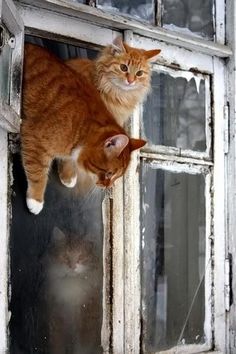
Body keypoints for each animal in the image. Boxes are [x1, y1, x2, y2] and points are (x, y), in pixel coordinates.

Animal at [21, 44, 146, 216]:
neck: (83, 125)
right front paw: (36, 200)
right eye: (109, 173)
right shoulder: (35, 139)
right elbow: (38, 172)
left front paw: (68, 175)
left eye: (115, 177)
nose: (108, 186)